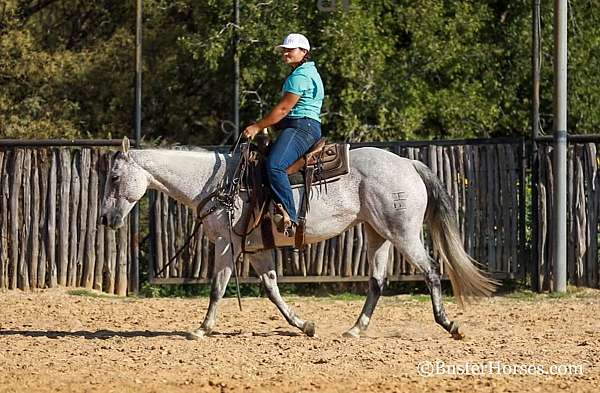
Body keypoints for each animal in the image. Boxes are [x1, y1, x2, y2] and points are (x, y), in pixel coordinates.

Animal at [101, 139, 494, 338]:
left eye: (115, 178)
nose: (106, 218)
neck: (217, 183)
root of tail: (407, 163)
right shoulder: (256, 249)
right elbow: (273, 289)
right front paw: (304, 325)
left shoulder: (227, 244)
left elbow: (217, 286)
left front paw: (201, 329)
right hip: (376, 233)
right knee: (378, 281)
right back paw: (355, 329)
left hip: (403, 232)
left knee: (430, 271)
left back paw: (449, 324)